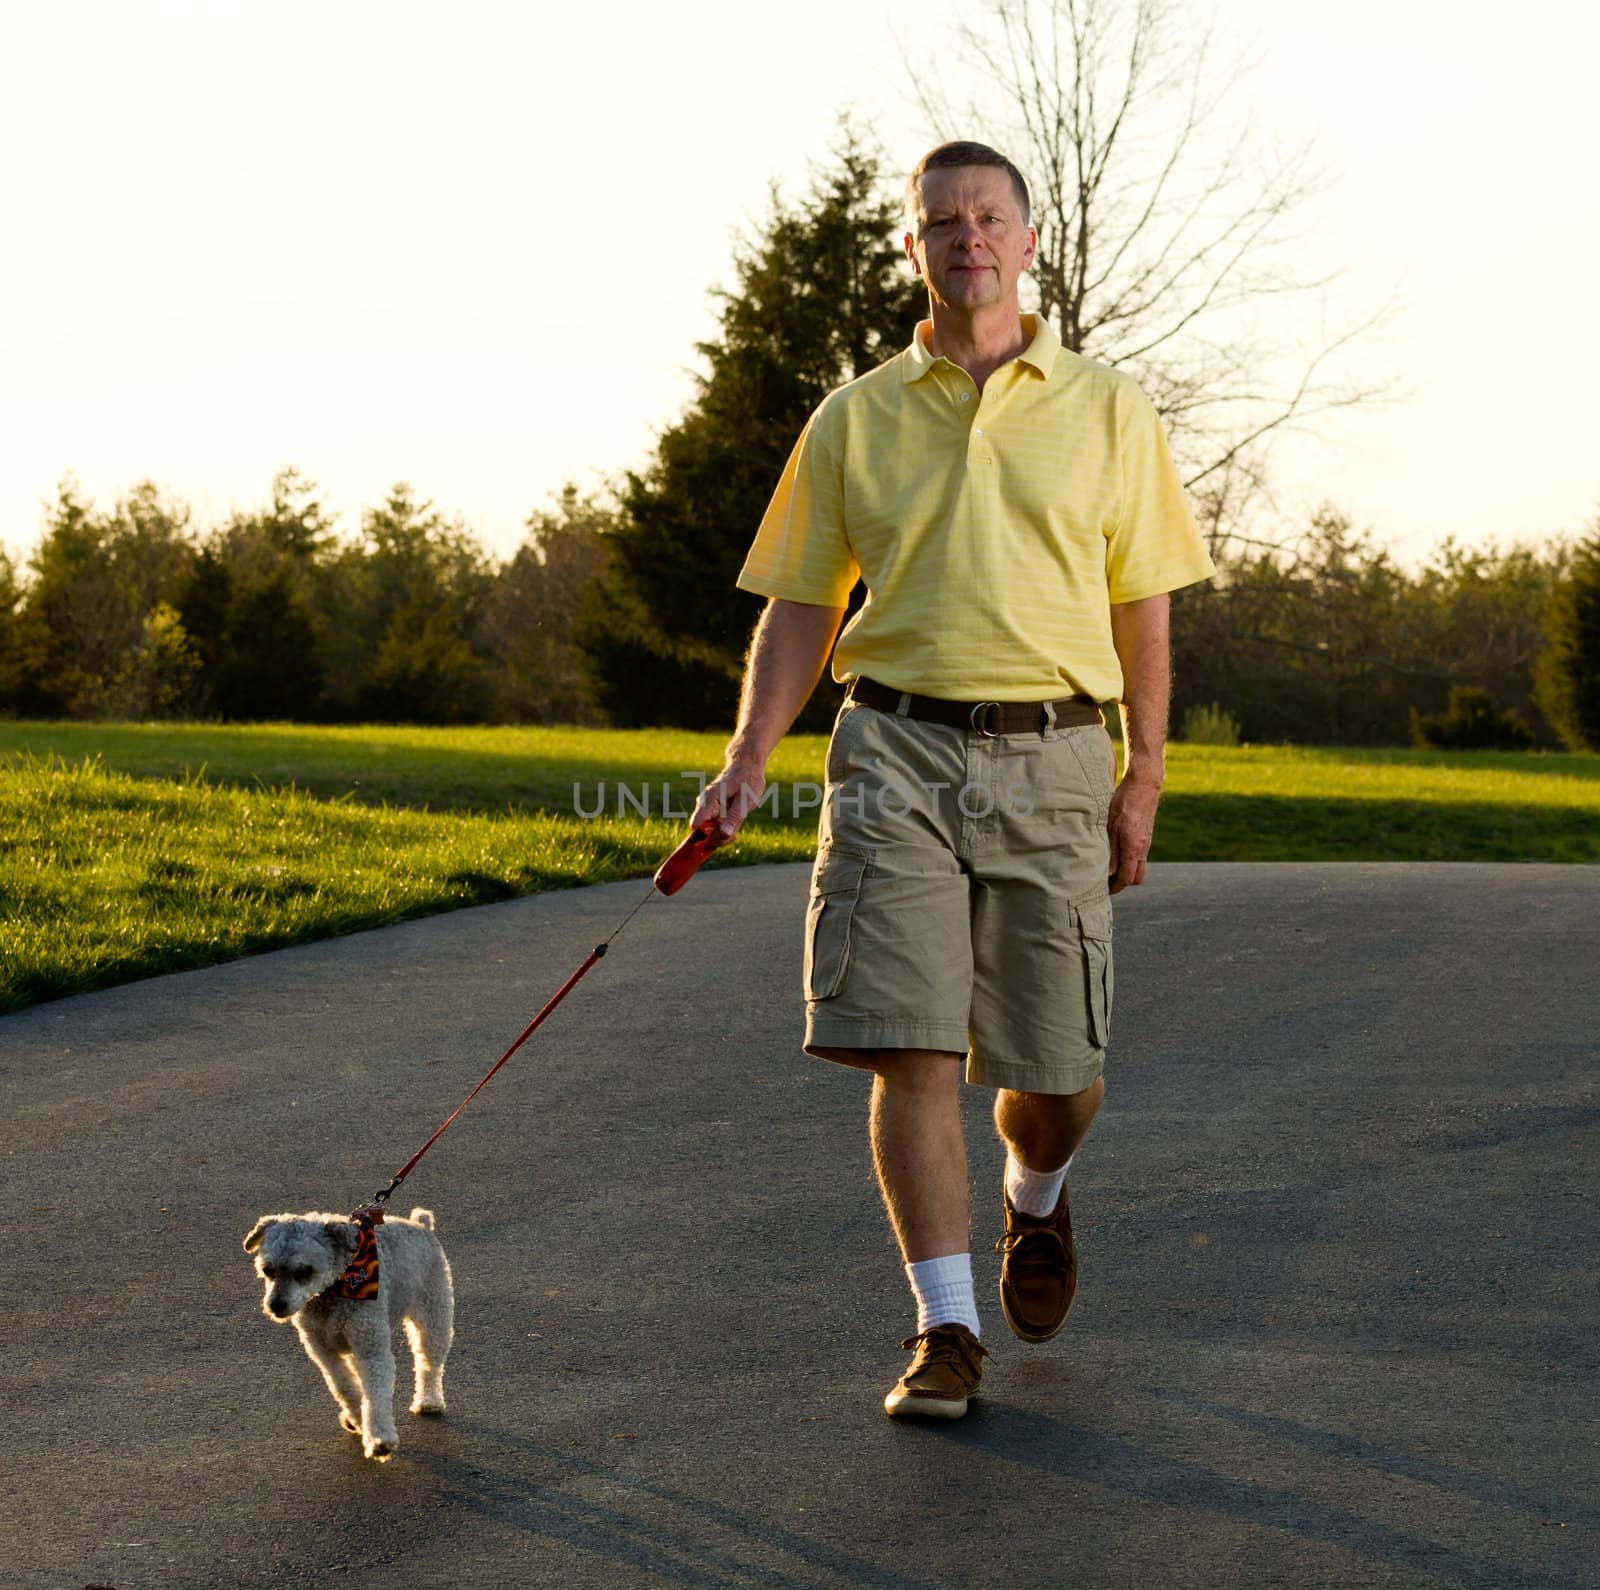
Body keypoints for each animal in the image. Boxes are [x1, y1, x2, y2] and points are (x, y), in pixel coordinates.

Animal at [244, 1209, 457, 1458]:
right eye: (268, 1270)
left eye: (305, 1271)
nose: (276, 1305)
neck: (336, 1288)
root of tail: (421, 1225)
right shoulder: (322, 1350)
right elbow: (343, 1386)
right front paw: (357, 1418)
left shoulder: (372, 1349)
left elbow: (376, 1395)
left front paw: (379, 1438)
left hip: (433, 1316)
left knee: (429, 1363)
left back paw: (428, 1401)